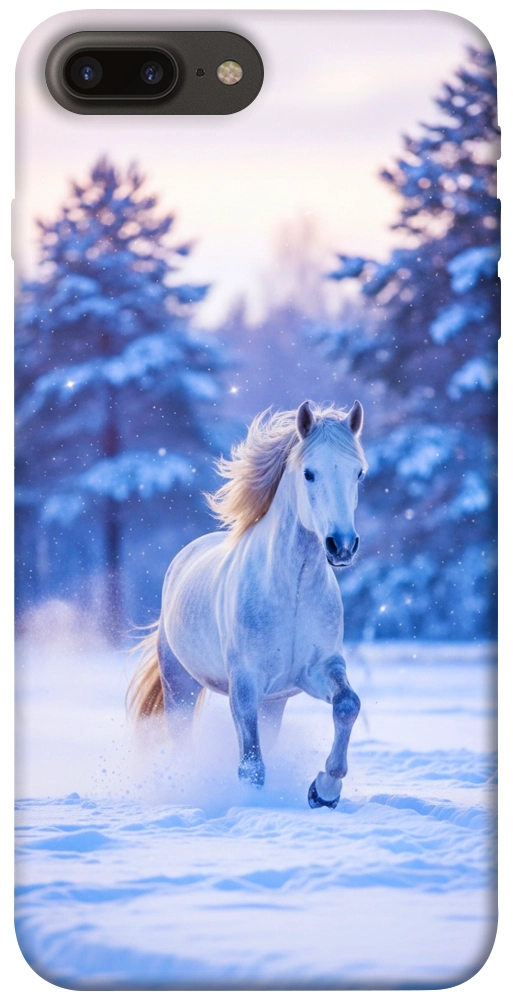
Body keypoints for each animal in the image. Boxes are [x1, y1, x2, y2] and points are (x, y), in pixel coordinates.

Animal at [127, 399, 367, 808]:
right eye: (309, 473)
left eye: (358, 474)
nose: (342, 545)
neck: (291, 591)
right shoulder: (245, 684)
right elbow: (251, 766)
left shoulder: (317, 670)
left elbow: (348, 705)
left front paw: (324, 791)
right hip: (180, 686)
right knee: (182, 740)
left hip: (273, 703)